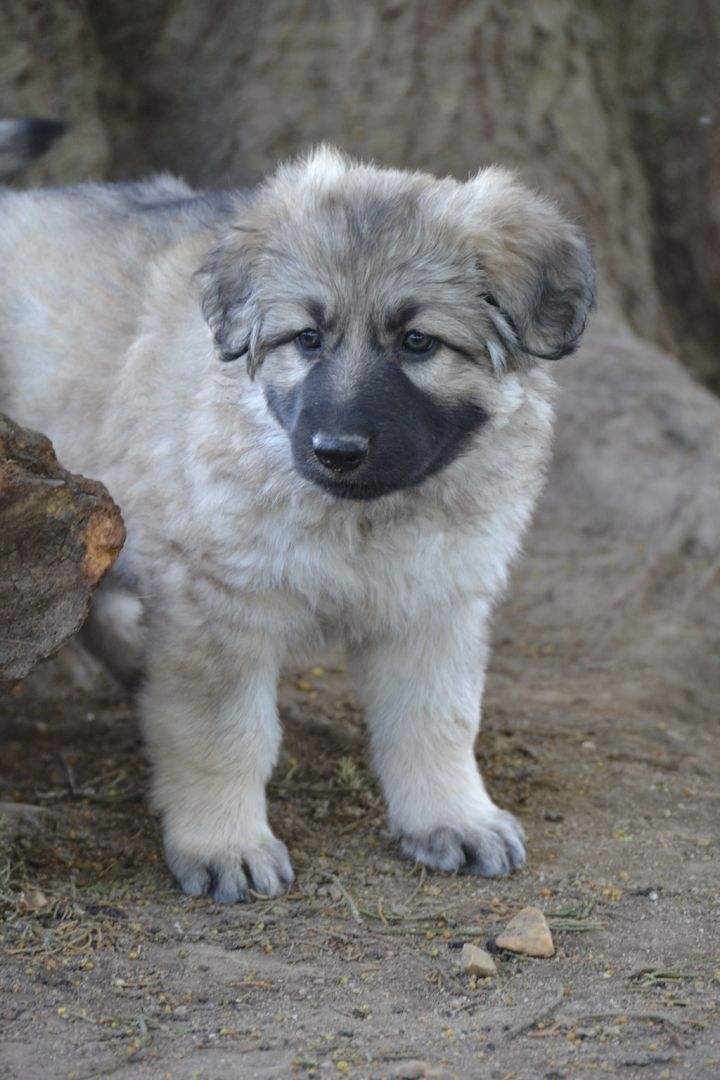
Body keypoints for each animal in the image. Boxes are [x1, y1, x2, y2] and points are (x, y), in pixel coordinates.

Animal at [0, 132, 594, 901]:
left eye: (418, 342)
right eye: (308, 338)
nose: (336, 451)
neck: (362, 517)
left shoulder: (437, 601)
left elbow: (437, 721)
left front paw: (452, 816)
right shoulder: (218, 606)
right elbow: (224, 735)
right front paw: (225, 841)